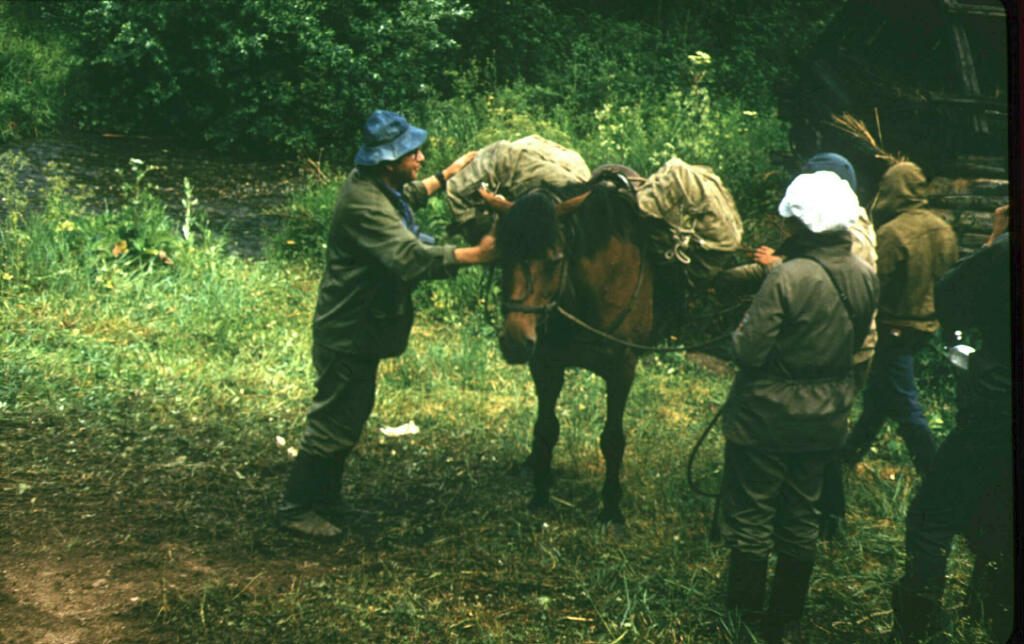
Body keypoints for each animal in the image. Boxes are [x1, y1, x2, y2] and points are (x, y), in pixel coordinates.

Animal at [489, 176, 679, 522]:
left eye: (554, 259)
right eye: (502, 256)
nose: (515, 342)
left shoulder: (622, 370)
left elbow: (613, 440)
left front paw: (611, 507)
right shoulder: (546, 365)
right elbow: (545, 430)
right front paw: (540, 496)